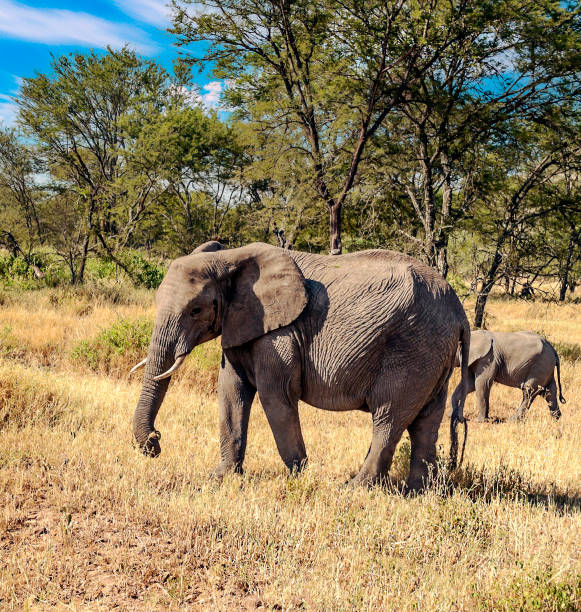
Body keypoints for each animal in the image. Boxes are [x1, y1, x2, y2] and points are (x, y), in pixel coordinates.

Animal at [129, 241, 468, 490]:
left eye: (195, 310)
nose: (155, 441)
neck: (229, 258)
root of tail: (458, 310)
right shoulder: (239, 324)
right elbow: (230, 394)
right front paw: (220, 477)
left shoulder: (280, 334)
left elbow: (274, 397)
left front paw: (299, 475)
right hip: (433, 353)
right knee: (426, 421)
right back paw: (417, 491)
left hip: (413, 347)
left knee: (388, 417)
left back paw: (354, 488)